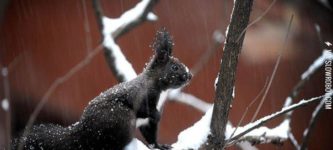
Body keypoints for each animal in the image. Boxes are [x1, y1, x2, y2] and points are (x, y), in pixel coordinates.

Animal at [12, 28, 192, 150]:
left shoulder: (148, 123)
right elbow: (144, 109)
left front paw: (159, 145)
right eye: (175, 67)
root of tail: (82, 133)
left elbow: (151, 135)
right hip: (120, 118)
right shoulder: (141, 96)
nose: (189, 76)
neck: (161, 90)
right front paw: (157, 115)